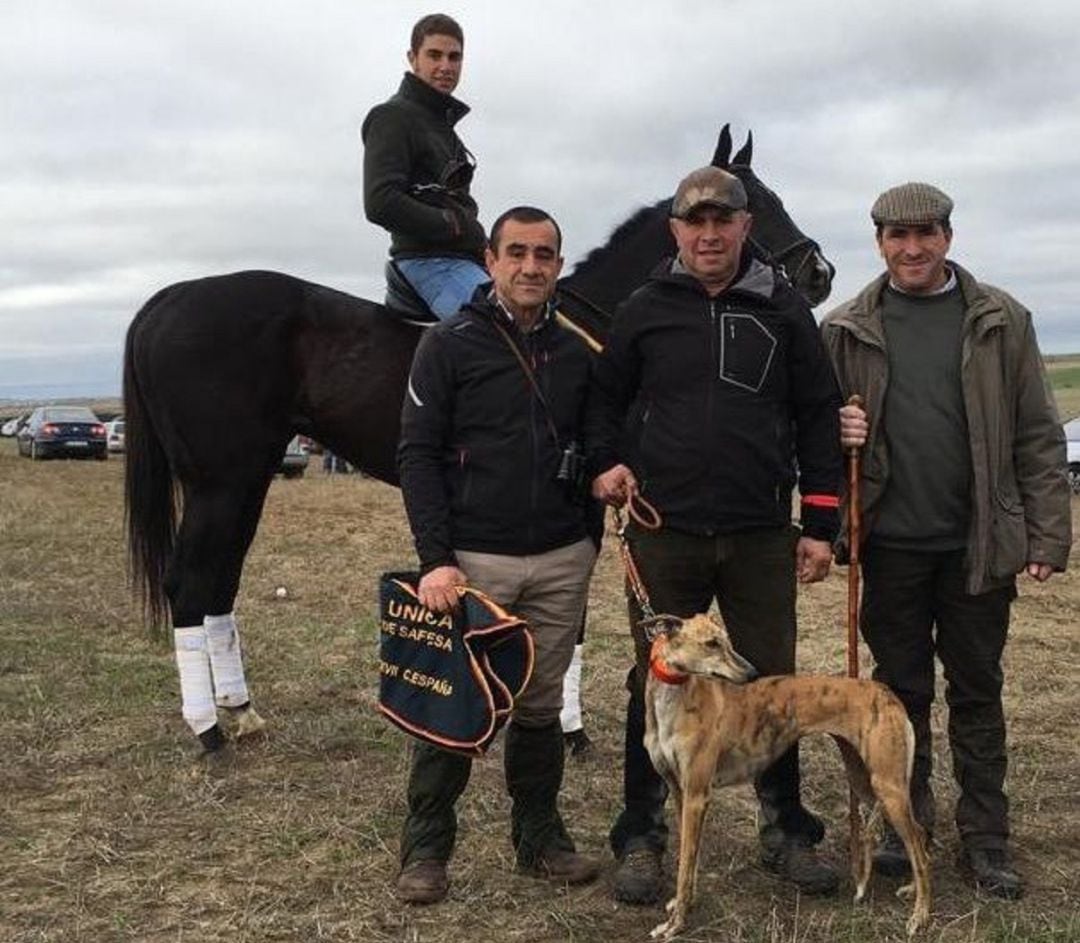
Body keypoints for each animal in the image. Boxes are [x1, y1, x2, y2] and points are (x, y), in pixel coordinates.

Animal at [126, 123, 833, 751]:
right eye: (755, 202)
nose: (820, 271)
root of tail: (169, 298)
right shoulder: (585, 509)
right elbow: (572, 622)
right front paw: (567, 728)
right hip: (221, 484)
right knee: (189, 586)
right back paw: (208, 728)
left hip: (245, 481)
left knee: (218, 584)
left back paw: (240, 710)